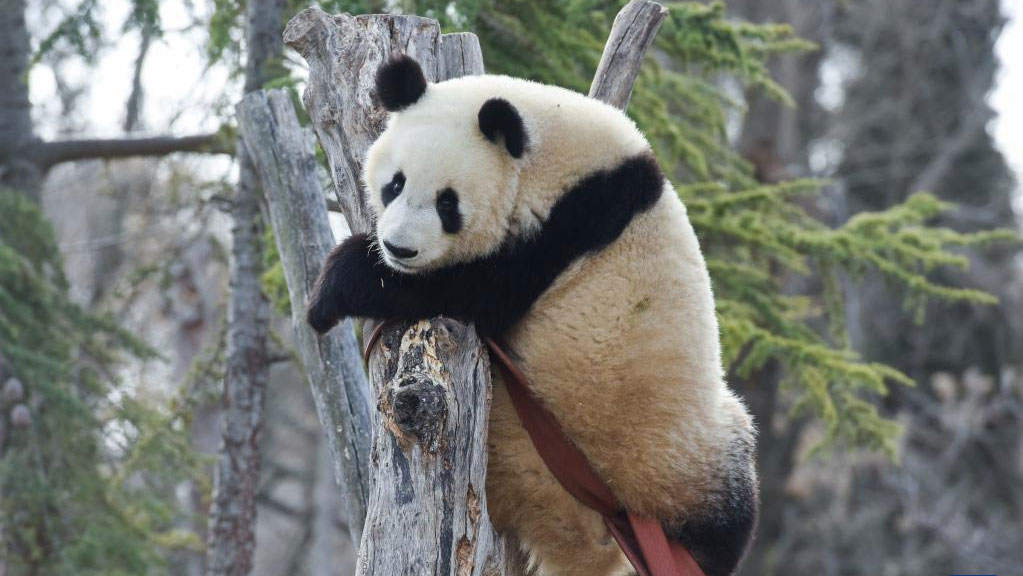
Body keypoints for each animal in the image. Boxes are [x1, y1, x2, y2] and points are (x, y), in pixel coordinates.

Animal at [307, 54, 758, 576]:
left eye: (447, 203)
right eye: (394, 184)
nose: (399, 248)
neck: (545, 154)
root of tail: (591, 534)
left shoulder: (567, 227)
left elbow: (470, 292)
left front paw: (337, 286)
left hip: (684, 452)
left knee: (727, 511)